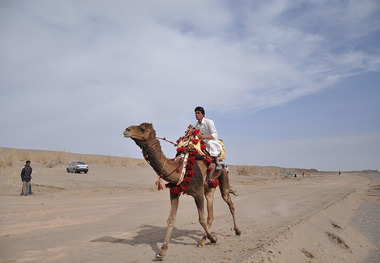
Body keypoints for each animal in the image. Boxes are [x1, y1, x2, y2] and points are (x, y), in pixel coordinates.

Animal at [123, 123, 240, 258]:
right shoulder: (174, 192)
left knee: (229, 203)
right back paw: (202, 241)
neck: (181, 170)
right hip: (209, 187)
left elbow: (201, 219)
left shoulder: (198, 193)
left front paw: (214, 238)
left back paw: (237, 231)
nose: (126, 130)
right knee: (211, 214)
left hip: (223, 177)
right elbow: (171, 219)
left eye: (142, 129)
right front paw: (163, 250)